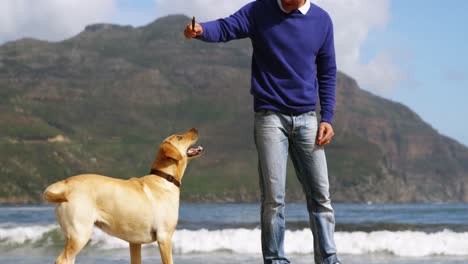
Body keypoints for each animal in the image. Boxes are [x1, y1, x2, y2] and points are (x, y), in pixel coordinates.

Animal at [43, 128, 203, 264]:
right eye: (180, 137)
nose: (195, 129)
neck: (164, 177)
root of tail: (66, 183)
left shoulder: (135, 242)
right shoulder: (165, 237)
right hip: (80, 234)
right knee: (62, 260)